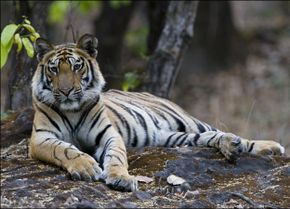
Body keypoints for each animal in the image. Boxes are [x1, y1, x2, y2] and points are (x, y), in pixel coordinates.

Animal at [30, 33, 286, 192]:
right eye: (54, 70)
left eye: (76, 66)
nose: (66, 91)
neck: (72, 110)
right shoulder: (40, 138)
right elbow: (65, 149)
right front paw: (86, 166)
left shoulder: (110, 135)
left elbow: (116, 157)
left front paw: (121, 178)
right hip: (172, 136)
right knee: (208, 137)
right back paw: (232, 146)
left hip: (186, 121)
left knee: (221, 131)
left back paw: (266, 146)